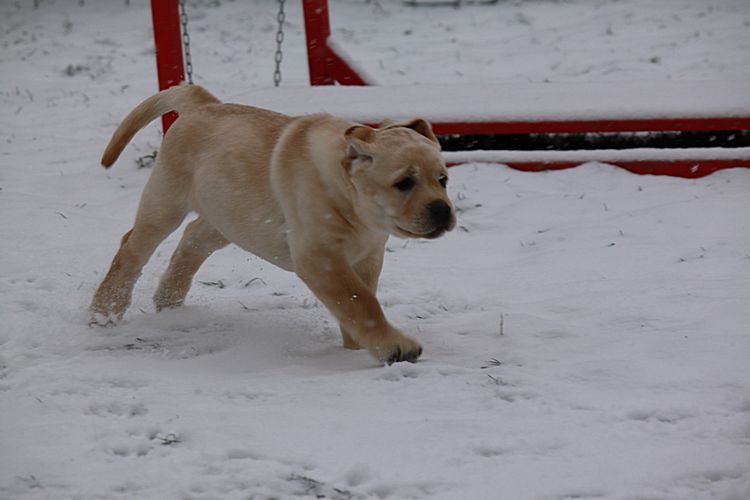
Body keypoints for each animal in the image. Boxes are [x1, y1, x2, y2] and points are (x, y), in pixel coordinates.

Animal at [90, 85, 455, 364]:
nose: (442, 210)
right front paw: (394, 346)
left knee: (191, 242)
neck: (350, 198)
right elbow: (360, 302)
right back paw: (104, 311)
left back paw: (169, 302)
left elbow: (359, 301)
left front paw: (355, 346)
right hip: (165, 203)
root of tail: (204, 103)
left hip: (227, 217)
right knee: (131, 248)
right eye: (404, 183)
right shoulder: (319, 257)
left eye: (443, 180)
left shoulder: (368, 256)